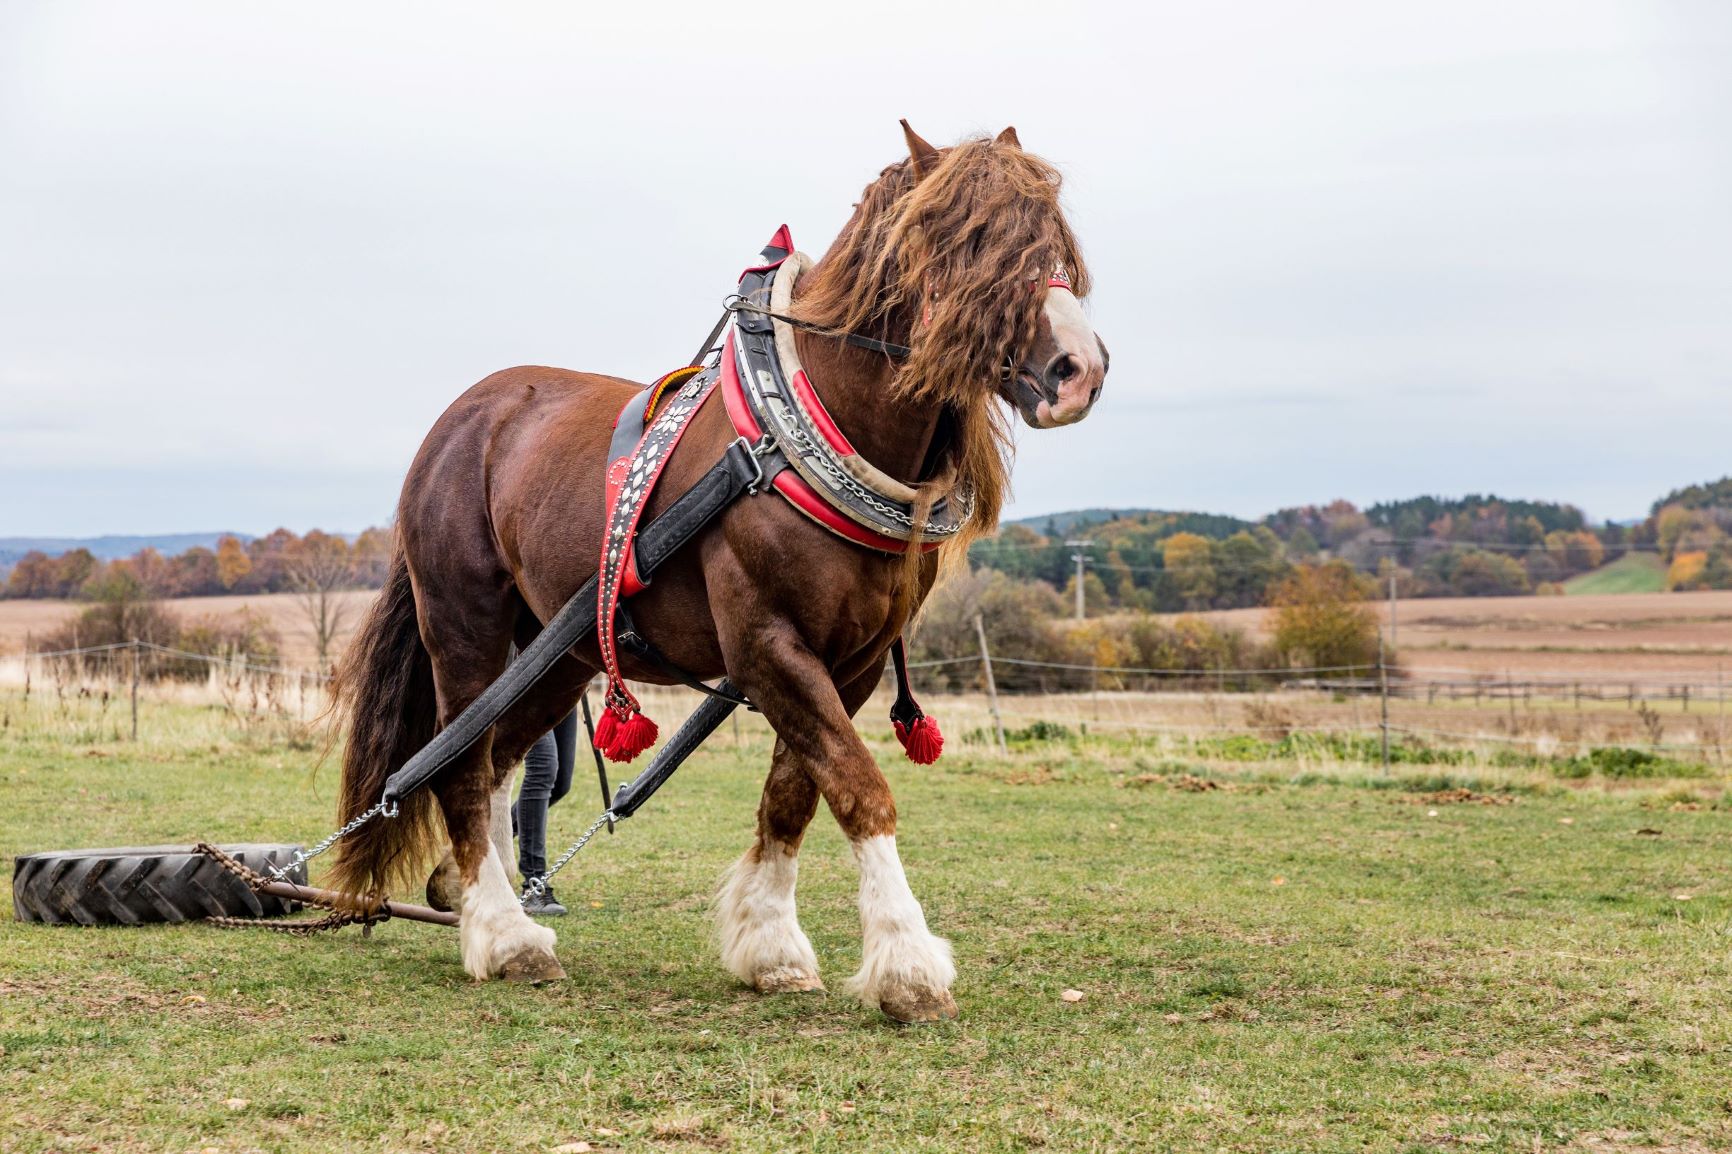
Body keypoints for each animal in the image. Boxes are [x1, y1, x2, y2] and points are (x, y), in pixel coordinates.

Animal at [327, 121, 1108, 1018]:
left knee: (494, 757)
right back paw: (503, 935)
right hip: (465, 626)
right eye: (965, 240)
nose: (1078, 369)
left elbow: (796, 793)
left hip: (557, 651)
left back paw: (472, 900)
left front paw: (771, 946)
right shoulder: (767, 645)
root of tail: (462, 416)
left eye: (1057, 245)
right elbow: (859, 786)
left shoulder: (853, 664)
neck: (800, 434)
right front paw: (908, 963)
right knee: (458, 762)